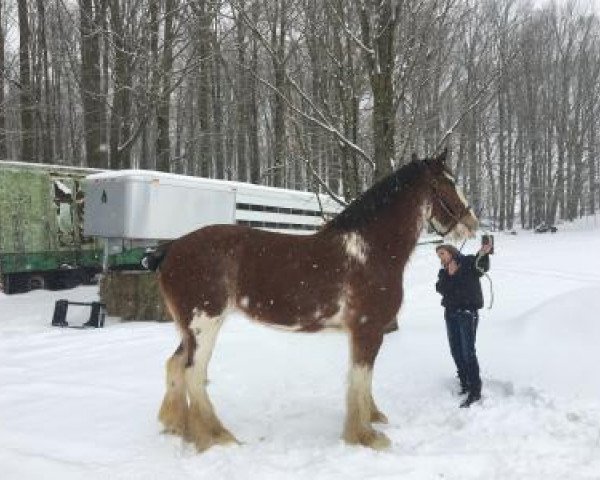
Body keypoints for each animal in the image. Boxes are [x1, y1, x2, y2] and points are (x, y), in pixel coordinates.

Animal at [150, 149, 478, 450]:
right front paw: (365, 436)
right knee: (193, 373)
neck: (369, 250)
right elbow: (360, 379)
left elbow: (361, 380)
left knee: (175, 365)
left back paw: (180, 427)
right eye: (447, 184)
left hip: (191, 329)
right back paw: (216, 436)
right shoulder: (368, 330)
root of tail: (171, 248)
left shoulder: (362, 333)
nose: (472, 223)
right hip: (205, 325)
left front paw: (372, 419)